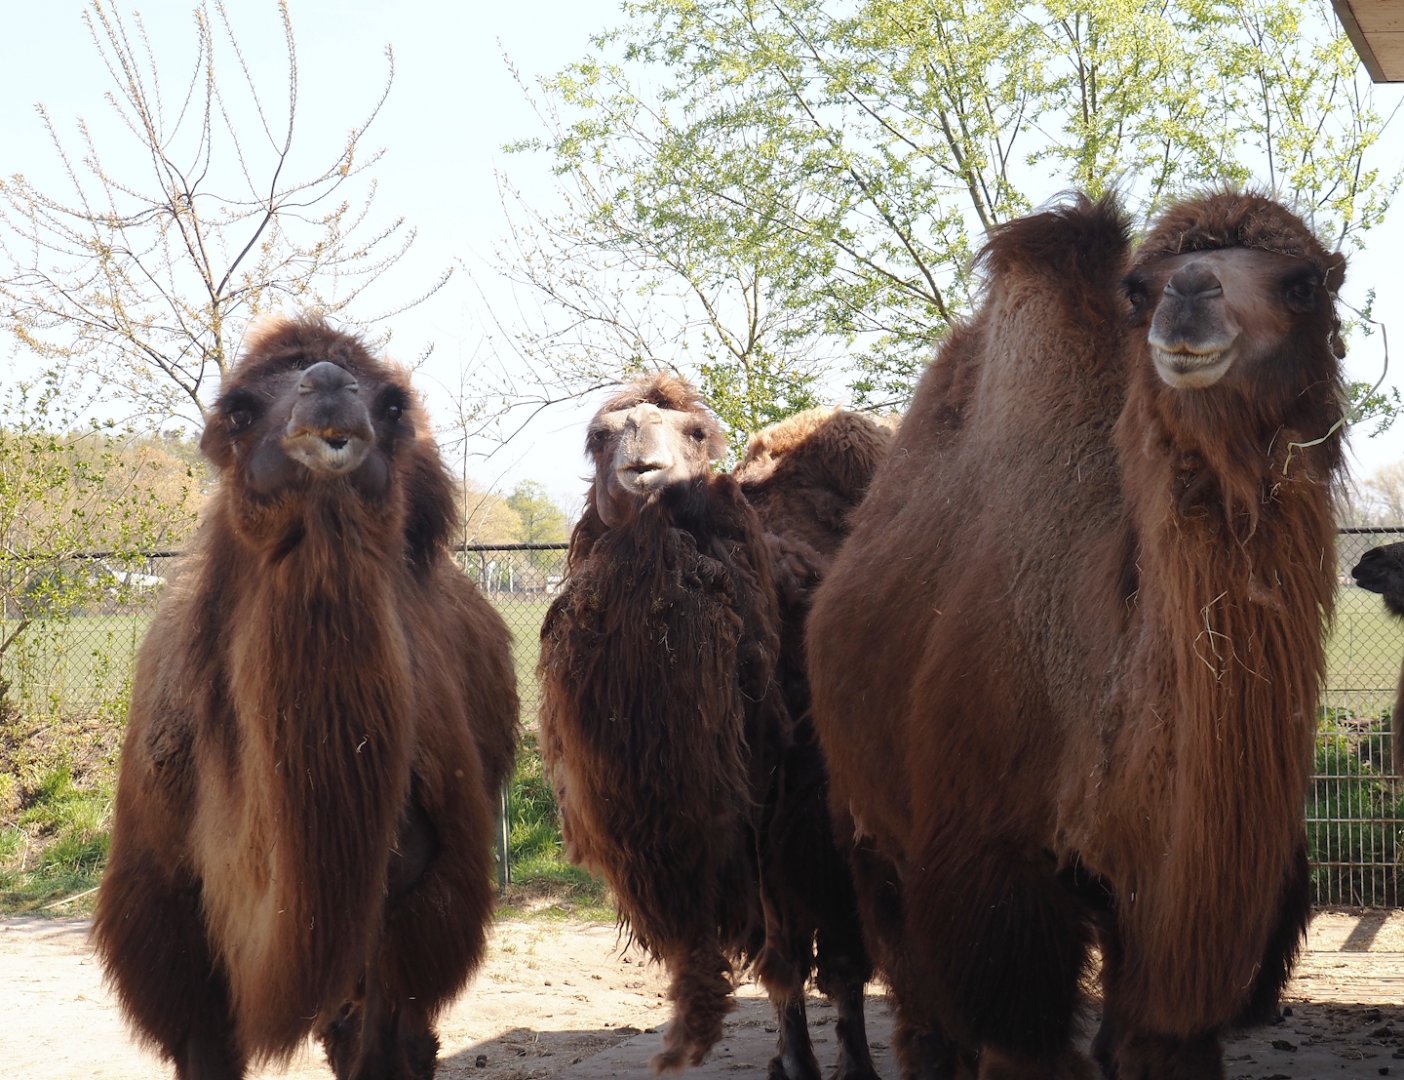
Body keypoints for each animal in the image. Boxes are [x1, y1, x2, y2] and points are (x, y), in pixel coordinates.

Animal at [92, 317, 519, 1080]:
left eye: (392, 405)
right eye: (238, 410)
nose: (328, 387)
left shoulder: (416, 900)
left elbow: (383, 1040)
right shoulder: (166, 918)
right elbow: (206, 1045)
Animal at [538, 376, 888, 1079]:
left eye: (696, 434)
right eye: (599, 435)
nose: (644, 468)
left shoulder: (817, 817)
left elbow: (840, 960)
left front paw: (854, 1063)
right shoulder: (750, 825)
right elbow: (782, 963)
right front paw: (794, 1062)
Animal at [806, 191, 1347, 1080]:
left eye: (1304, 285)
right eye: (1139, 288)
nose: (1187, 298)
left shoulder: (1168, 927)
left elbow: (1156, 1040)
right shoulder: (994, 876)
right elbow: (1019, 1037)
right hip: (868, 823)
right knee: (919, 1002)